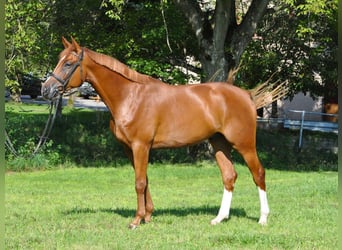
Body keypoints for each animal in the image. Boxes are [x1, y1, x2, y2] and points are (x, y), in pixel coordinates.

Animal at [40, 38, 270, 229]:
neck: (130, 97)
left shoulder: (141, 145)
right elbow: (144, 179)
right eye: (59, 60)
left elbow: (139, 183)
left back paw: (263, 218)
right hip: (219, 143)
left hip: (244, 144)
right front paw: (148, 215)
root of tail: (246, 95)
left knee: (258, 173)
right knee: (229, 176)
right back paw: (219, 218)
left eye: (68, 64)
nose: (45, 90)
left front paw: (136, 220)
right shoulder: (130, 148)